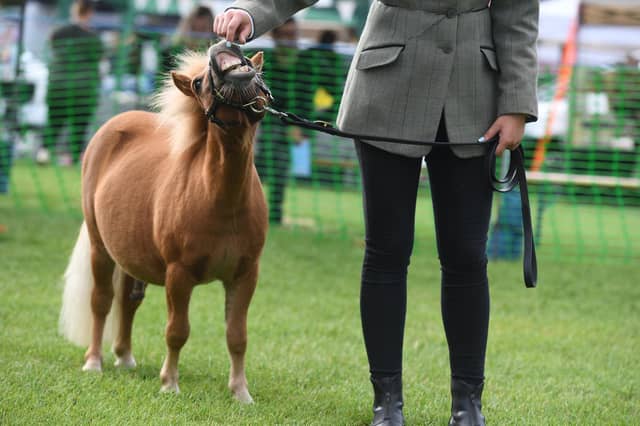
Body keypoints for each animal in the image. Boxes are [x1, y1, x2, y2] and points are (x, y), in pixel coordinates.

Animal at [58, 40, 271, 402]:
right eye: (198, 83)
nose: (225, 46)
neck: (221, 199)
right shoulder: (179, 274)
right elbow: (177, 331)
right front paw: (170, 383)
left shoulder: (245, 275)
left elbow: (237, 336)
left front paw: (241, 393)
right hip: (101, 249)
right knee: (102, 302)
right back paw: (94, 361)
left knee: (127, 301)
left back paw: (125, 357)